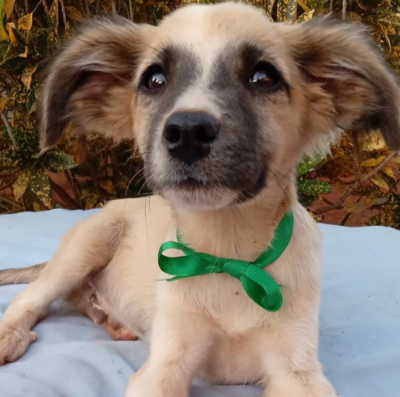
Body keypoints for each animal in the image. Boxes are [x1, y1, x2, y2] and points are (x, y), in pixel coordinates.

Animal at [0, 3, 400, 396]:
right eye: (155, 79)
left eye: (263, 76)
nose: (188, 132)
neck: (228, 256)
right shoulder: (164, 365)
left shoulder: (297, 369)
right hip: (88, 242)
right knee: (31, 297)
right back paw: (11, 335)